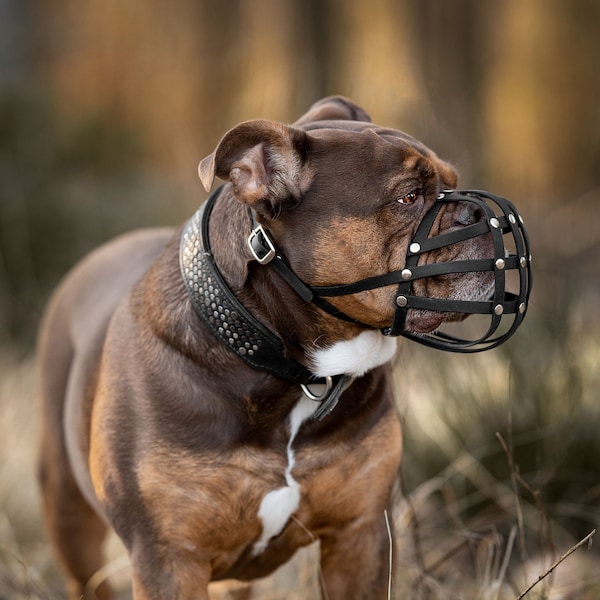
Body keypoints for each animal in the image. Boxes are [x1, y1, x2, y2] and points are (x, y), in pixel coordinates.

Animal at [38, 96, 496, 596]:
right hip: (69, 517)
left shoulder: (362, 535)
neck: (287, 368)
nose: (481, 215)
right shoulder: (168, 558)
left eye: (453, 184)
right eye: (409, 197)